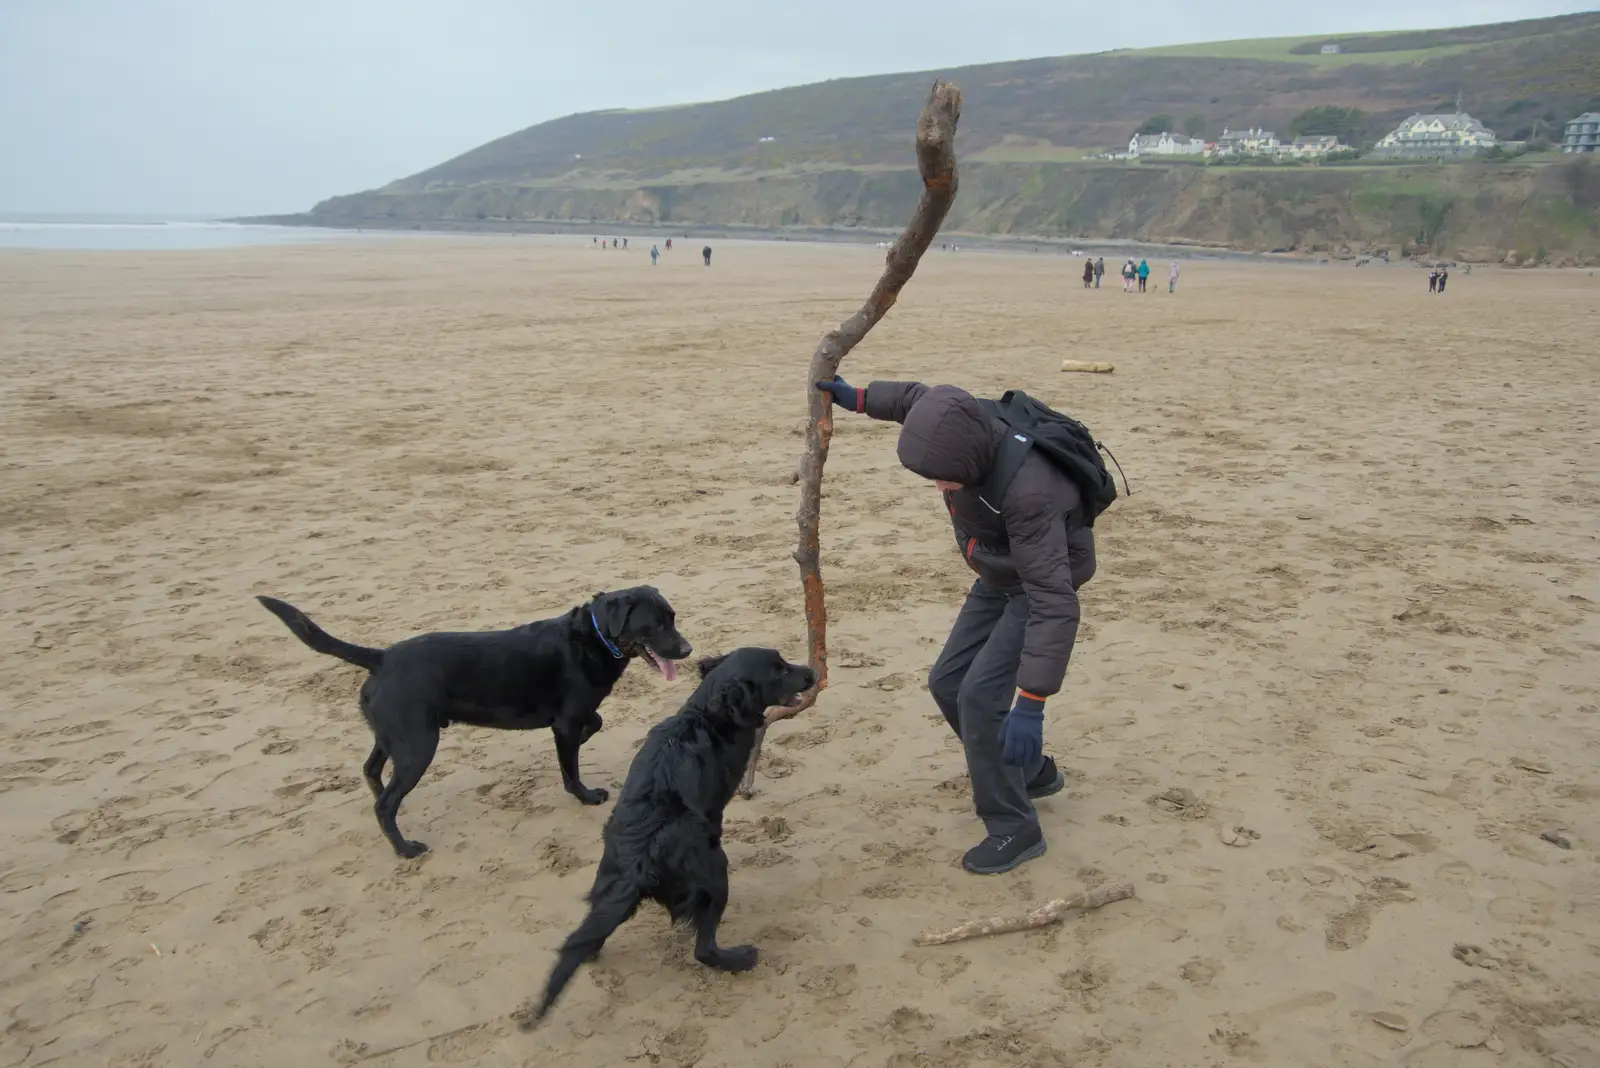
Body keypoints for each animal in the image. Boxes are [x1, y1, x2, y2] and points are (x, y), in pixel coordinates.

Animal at [256, 588, 694, 856]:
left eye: (673, 617)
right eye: (656, 624)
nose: (688, 649)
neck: (593, 638)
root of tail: (381, 658)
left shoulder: (574, 717)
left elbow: (596, 721)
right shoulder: (567, 721)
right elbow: (572, 766)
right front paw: (586, 796)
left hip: (396, 737)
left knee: (372, 771)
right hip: (419, 746)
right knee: (385, 802)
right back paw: (405, 849)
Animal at [531, 645, 819, 1023]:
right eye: (778, 670)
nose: (813, 673)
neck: (705, 714)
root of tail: (639, 864)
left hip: (605, 882)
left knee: (588, 935)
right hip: (716, 872)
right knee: (704, 949)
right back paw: (740, 958)